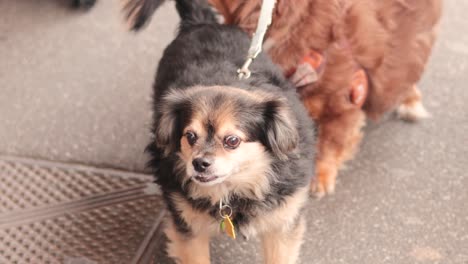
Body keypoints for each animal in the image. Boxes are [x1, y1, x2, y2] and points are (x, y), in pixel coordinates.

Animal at [123, 0, 314, 262]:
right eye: (190, 136)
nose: (199, 163)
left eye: (232, 141)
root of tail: (200, 21)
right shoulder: (188, 228)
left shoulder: (282, 225)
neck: (234, 190)